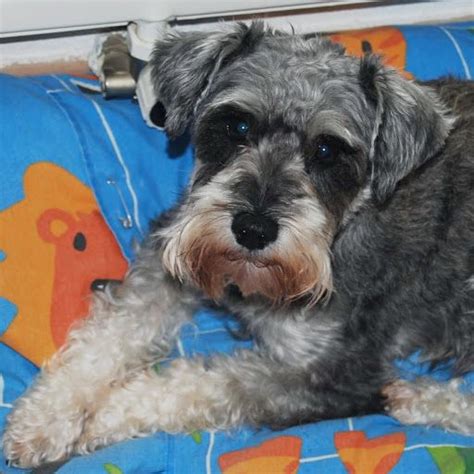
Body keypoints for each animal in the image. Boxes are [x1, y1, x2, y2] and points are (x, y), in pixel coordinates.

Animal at [3, 21, 474, 466]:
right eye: (238, 125)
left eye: (327, 150)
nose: (252, 229)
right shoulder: (167, 268)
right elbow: (110, 332)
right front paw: (43, 418)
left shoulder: (332, 374)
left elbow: (210, 383)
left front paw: (108, 413)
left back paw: (421, 397)